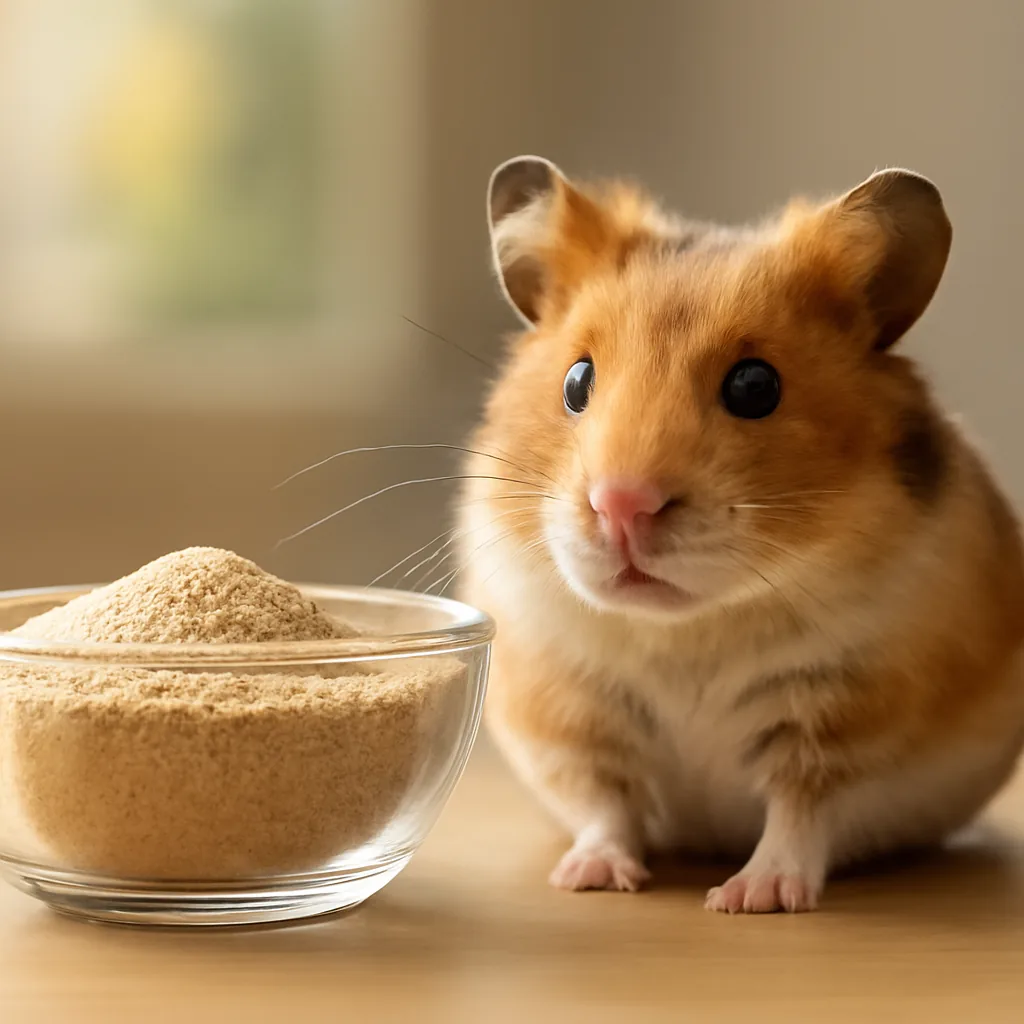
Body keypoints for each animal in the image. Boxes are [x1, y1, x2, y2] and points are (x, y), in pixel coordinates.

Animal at [455, 155, 1024, 913]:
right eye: (577, 381)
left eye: (755, 387)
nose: (621, 505)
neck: (688, 628)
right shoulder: (571, 720)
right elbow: (605, 805)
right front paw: (591, 879)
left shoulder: (851, 729)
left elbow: (800, 813)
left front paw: (751, 899)